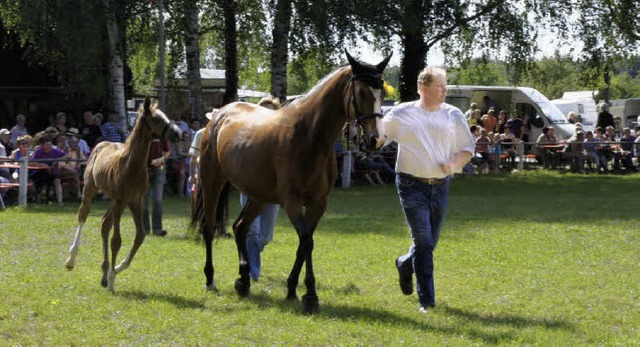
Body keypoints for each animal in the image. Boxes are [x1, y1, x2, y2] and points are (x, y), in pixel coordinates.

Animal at [66, 98, 180, 294]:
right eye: (156, 119)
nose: (178, 133)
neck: (131, 165)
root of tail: (102, 144)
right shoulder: (121, 201)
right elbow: (116, 240)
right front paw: (112, 281)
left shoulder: (135, 201)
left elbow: (140, 235)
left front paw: (116, 269)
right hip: (90, 190)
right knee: (83, 216)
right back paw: (72, 260)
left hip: (113, 200)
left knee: (104, 225)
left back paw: (104, 273)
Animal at [190, 52, 390, 316]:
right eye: (361, 92)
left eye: (383, 93)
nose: (376, 139)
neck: (310, 136)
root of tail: (218, 115)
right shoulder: (292, 202)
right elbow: (306, 242)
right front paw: (311, 296)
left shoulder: (318, 204)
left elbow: (304, 245)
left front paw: (293, 289)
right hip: (212, 181)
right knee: (209, 227)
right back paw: (210, 279)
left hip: (258, 196)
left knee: (240, 227)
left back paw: (243, 280)